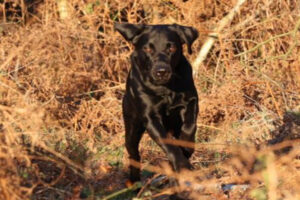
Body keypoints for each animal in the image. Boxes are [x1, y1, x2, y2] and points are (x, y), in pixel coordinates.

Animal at [115, 22, 199, 183]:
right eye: (148, 48)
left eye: (171, 48)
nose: (161, 71)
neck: (165, 88)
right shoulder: (151, 118)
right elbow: (168, 144)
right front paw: (182, 165)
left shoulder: (191, 101)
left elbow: (189, 127)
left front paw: (186, 147)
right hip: (132, 127)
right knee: (133, 154)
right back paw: (134, 181)